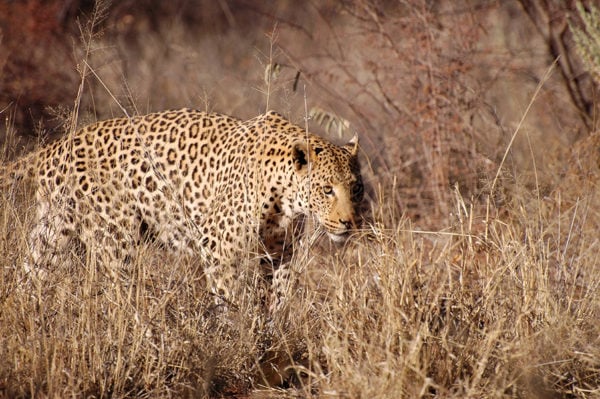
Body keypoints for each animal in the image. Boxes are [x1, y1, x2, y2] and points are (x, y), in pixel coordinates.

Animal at [2, 109, 364, 312]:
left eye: (356, 188)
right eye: (327, 189)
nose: (348, 222)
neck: (286, 195)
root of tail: (54, 146)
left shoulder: (280, 252)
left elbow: (278, 295)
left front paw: (272, 333)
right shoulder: (219, 246)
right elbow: (231, 297)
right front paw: (239, 338)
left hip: (52, 234)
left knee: (30, 274)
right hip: (116, 239)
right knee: (122, 295)